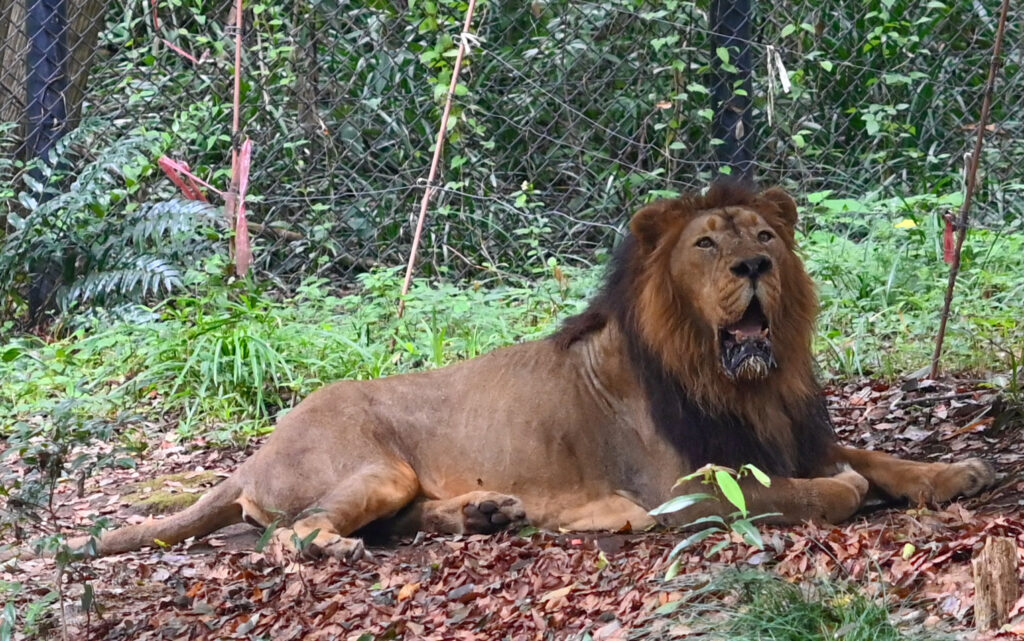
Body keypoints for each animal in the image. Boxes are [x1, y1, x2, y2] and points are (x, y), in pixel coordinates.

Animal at [24, 183, 996, 561]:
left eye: (764, 237)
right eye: (706, 245)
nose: (754, 268)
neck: (743, 377)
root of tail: (255, 450)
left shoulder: (790, 428)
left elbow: (870, 456)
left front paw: (952, 469)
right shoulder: (688, 487)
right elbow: (816, 488)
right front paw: (848, 489)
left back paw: (492, 511)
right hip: (369, 465)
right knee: (297, 534)